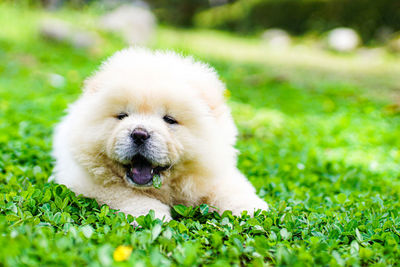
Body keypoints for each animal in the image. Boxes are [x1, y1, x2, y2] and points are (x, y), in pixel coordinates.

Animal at [50, 48, 268, 222]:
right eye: (122, 116)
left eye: (169, 119)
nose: (139, 134)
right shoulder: (85, 181)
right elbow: (125, 193)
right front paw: (152, 217)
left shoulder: (215, 171)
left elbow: (231, 189)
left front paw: (253, 211)